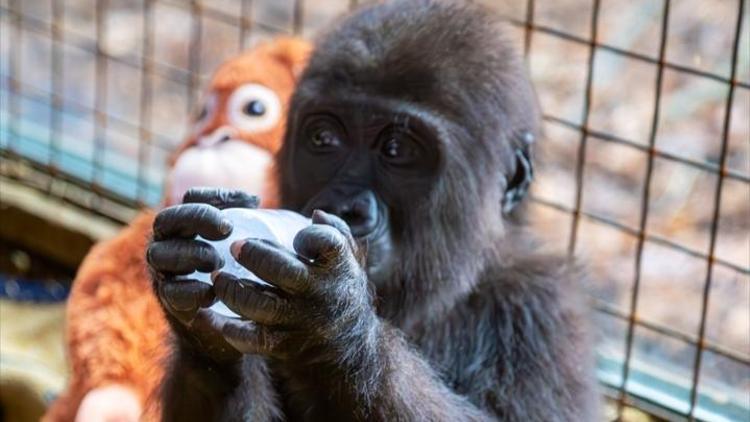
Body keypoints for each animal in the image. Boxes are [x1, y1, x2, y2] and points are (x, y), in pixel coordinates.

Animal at [150, 1, 604, 420]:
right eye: (324, 139)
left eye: (397, 150)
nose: (344, 207)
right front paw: (199, 337)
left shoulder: (542, 309)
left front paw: (335, 324)